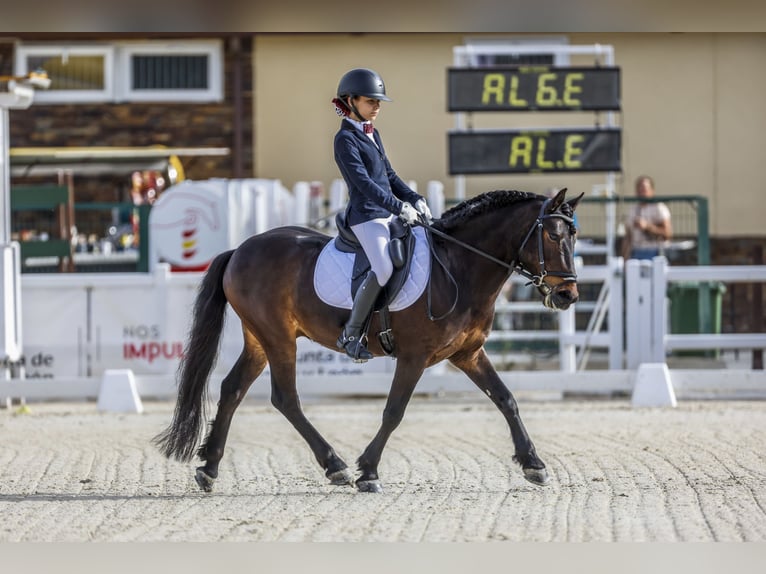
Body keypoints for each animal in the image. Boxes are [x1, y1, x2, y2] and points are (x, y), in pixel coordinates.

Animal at [153, 187, 583, 493]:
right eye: (551, 234)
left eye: (574, 237)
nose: (567, 296)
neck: (459, 267)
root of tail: (241, 249)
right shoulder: (415, 357)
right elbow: (394, 411)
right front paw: (368, 472)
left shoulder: (468, 354)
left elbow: (506, 399)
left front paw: (534, 464)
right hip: (279, 339)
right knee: (285, 398)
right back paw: (336, 466)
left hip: (259, 339)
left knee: (232, 389)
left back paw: (209, 468)